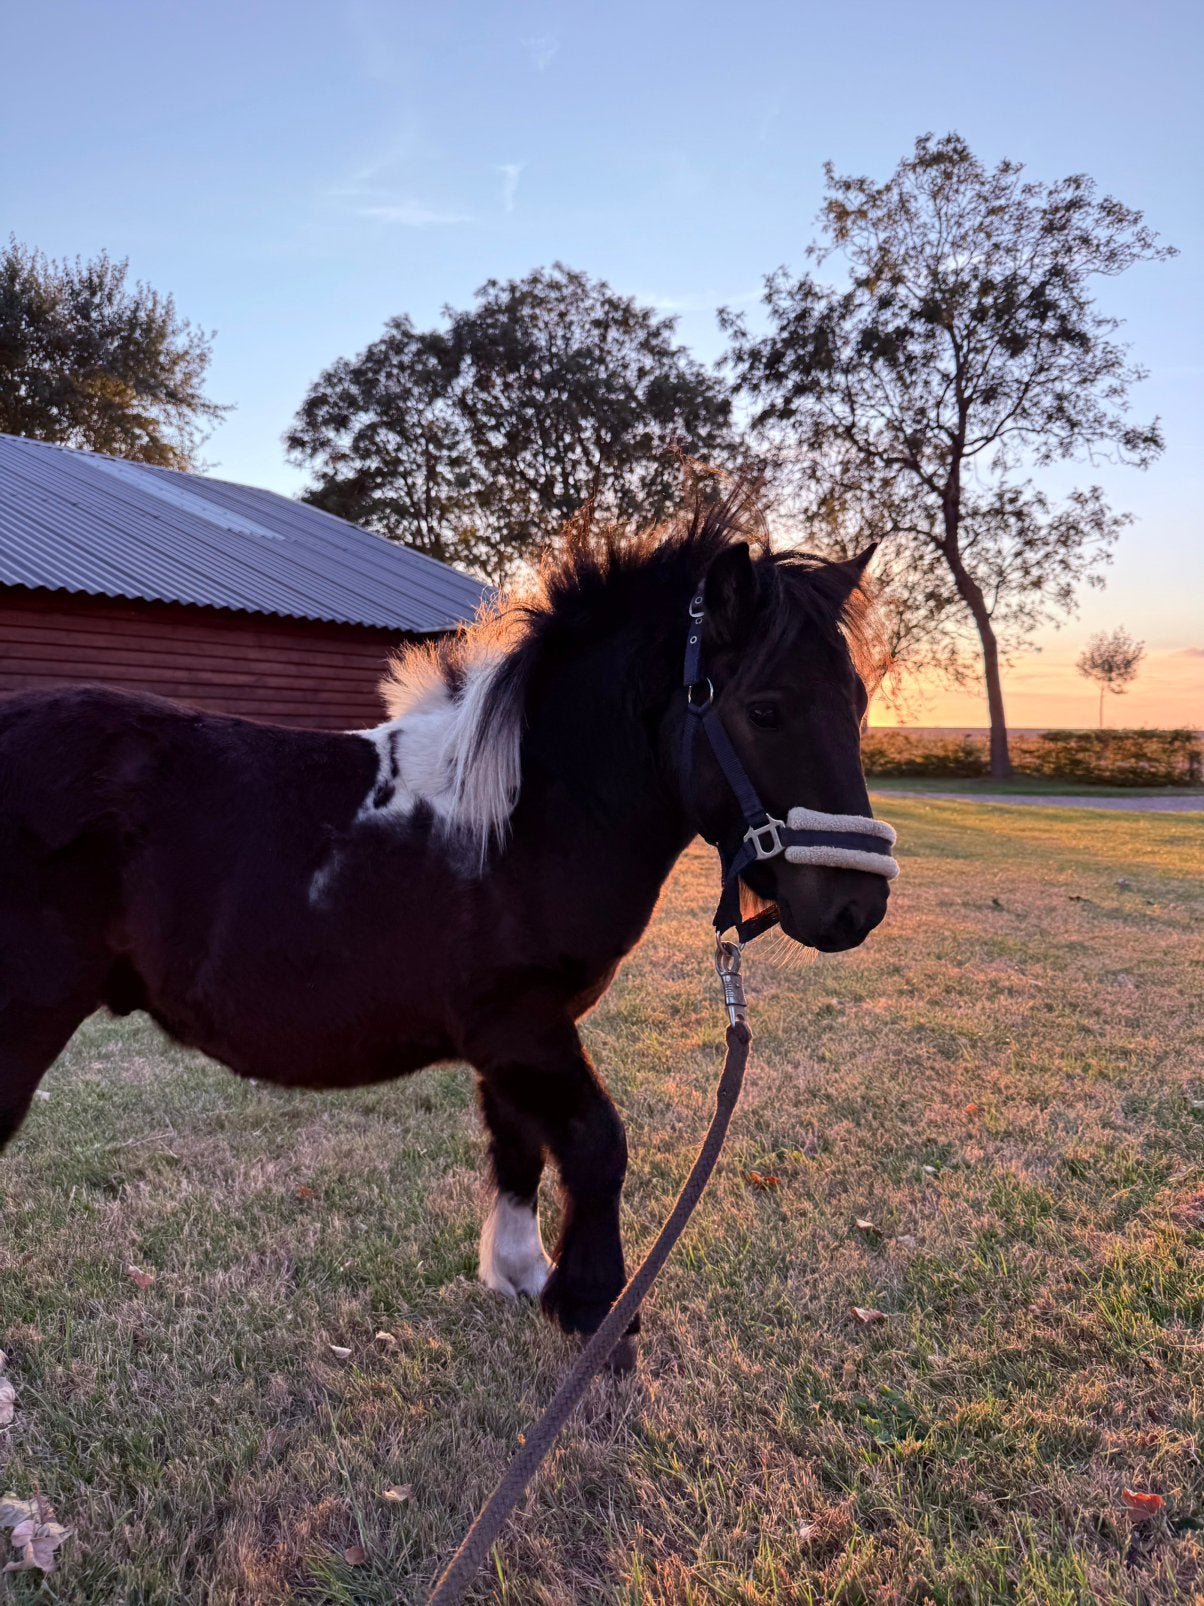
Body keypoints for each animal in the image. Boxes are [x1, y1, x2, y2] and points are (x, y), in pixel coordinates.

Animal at [0, 489, 892, 1344]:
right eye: (766, 709)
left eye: (857, 702)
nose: (857, 907)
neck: (526, 820)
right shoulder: (520, 1026)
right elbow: (597, 1146)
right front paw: (594, 1306)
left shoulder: (517, 1040)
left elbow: (519, 1145)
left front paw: (525, 1276)